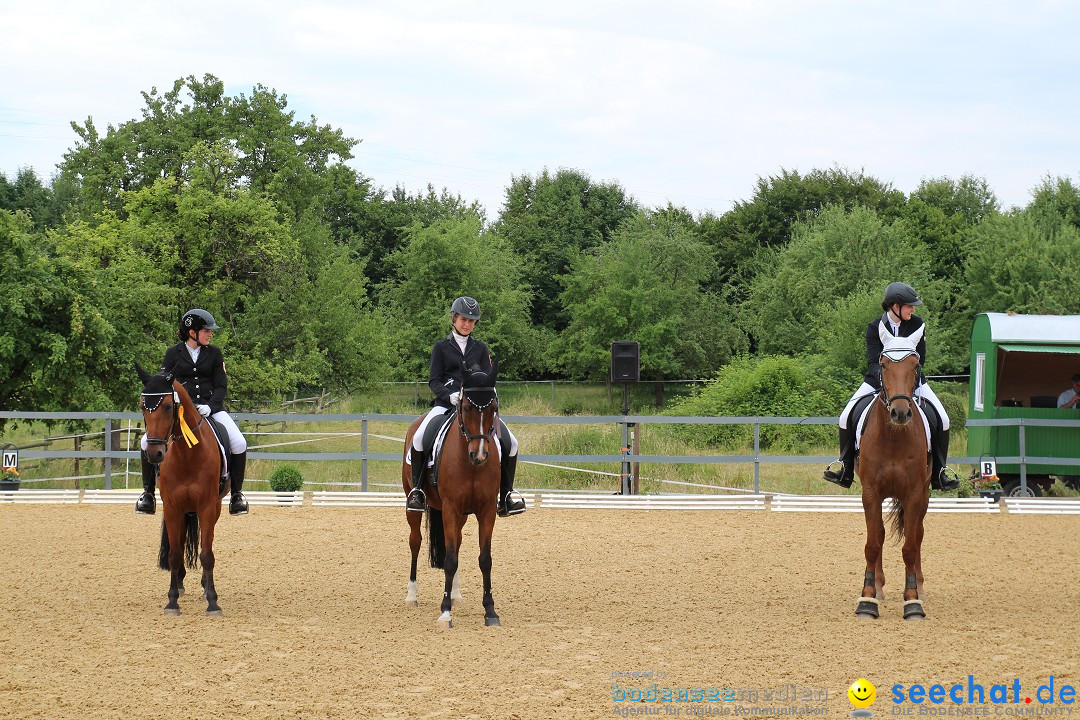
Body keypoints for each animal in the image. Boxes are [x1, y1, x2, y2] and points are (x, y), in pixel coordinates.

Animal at [137, 362, 227, 617]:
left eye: (169, 407)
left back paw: (205, 586)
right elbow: (175, 555)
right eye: (142, 407)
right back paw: (179, 583)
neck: (187, 455)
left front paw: (213, 602)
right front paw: (172, 601)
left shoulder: (207, 507)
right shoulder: (172, 508)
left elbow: (207, 555)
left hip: (213, 508)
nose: (155, 454)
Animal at [403, 369, 503, 626]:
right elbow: (449, 559)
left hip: (463, 515)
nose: (480, 455)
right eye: (466, 407)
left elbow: (484, 559)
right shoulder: (449, 509)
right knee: (415, 541)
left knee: (456, 542)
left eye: (494, 407)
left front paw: (490, 611)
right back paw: (412, 596)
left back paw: (456, 594)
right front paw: (445, 612)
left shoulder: (486, 511)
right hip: (412, 503)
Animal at [855, 338, 933, 621]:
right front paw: (867, 598)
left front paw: (912, 601)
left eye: (915, 365)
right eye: (884, 365)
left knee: (918, 535)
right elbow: (872, 543)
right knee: (879, 533)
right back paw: (878, 588)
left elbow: (910, 547)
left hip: (925, 495)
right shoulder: (870, 492)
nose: (900, 413)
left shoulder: (914, 494)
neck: (893, 437)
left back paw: (919, 587)